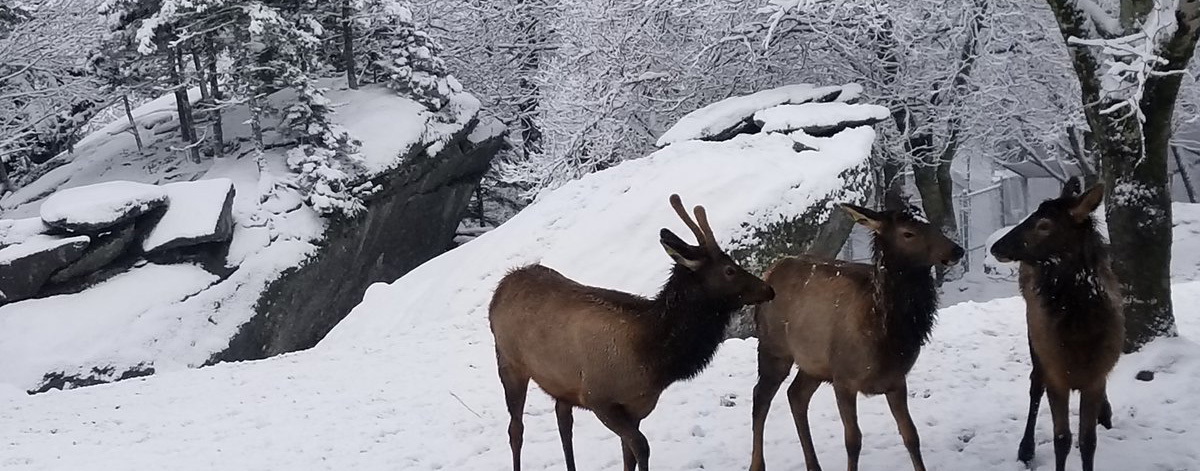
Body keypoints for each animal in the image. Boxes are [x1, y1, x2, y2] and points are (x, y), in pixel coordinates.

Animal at [488, 194, 776, 471]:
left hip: (562, 381)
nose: (768, 289)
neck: (654, 358)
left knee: (563, 418)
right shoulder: (598, 398)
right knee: (516, 429)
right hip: (509, 362)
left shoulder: (636, 407)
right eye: (730, 270)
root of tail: (501, 287)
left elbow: (629, 455)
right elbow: (641, 447)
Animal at [749, 203, 963, 471]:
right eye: (908, 233)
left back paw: (814, 465)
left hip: (815, 364)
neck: (886, 336)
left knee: (796, 395)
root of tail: (770, 272)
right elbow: (853, 440)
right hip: (774, 348)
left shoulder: (895, 380)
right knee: (760, 398)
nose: (957, 250)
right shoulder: (844, 380)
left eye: (930, 223)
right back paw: (757, 465)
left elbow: (911, 435)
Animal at [989, 181, 1123, 471]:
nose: (996, 247)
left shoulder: (1095, 376)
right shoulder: (1056, 372)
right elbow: (1062, 438)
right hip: (1034, 338)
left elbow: (1088, 441)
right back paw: (1026, 448)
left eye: (1044, 225)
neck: (1079, 335)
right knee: (1034, 384)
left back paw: (1106, 413)